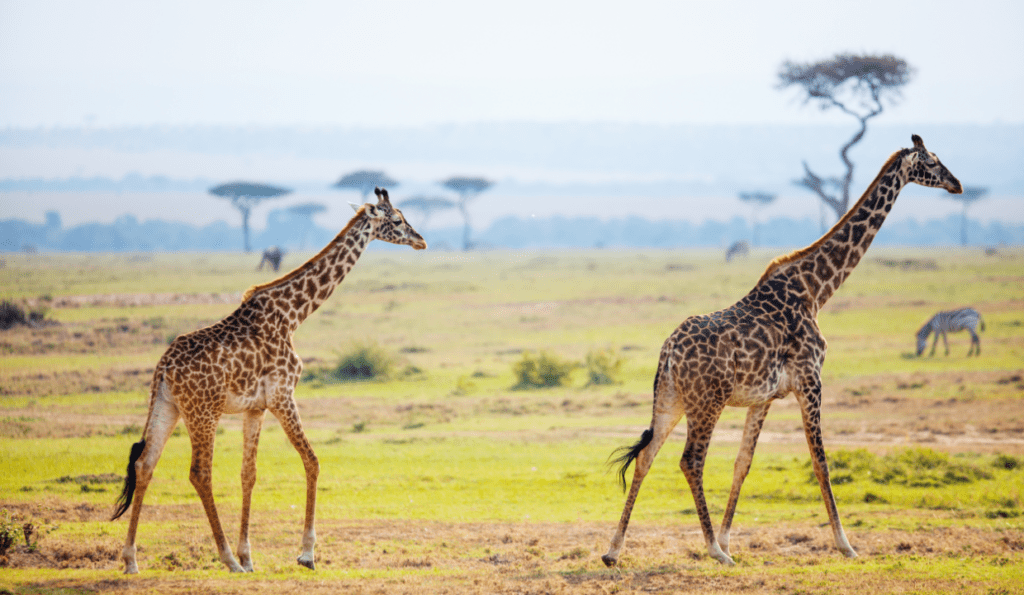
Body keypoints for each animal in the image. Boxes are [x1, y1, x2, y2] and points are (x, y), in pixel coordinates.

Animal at [113, 188, 428, 573]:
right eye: (397, 219)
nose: (421, 240)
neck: (293, 315)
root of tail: (164, 369)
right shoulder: (283, 395)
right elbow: (312, 461)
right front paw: (305, 554)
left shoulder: (256, 407)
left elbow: (249, 474)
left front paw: (249, 556)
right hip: (203, 412)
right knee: (200, 472)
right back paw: (226, 559)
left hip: (166, 406)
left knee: (144, 465)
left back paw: (131, 559)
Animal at [598, 134, 958, 565]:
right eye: (933, 162)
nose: (957, 184)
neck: (815, 291)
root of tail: (668, 352)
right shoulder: (810, 381)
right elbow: (821, 462)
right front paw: (846, 545)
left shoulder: (764, 398)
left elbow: (743, 463)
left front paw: (729, 538)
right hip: (707, 401)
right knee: (691, 460)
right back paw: (713, 551)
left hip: (670, 398)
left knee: (647, 456)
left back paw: (614, 550)